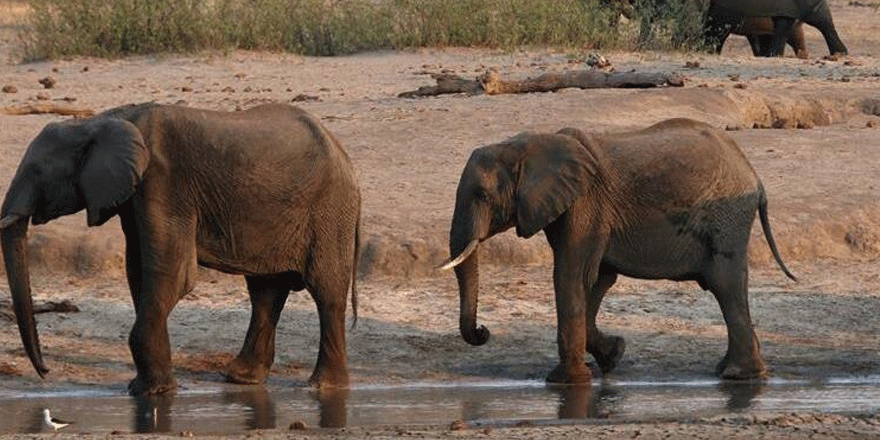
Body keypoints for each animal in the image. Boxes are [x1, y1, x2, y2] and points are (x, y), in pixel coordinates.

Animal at [0, 102, 360, 396]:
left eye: (37, 171)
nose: (45, 371)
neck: (103, 120)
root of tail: (344, 154)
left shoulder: (164, 183)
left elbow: (171, 273)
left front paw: (150, 392)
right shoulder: (136, 194)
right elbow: (138, 271)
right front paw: (148, 388)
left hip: (330, 210)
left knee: (325, 291)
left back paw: (324, 386)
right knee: (265, 291)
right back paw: (241, 378)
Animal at [440, 118, 796, 384]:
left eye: (482, 194)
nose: (483, 331)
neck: (527, 145)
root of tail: (755, 175)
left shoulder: (585, 205)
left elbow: (571, 276)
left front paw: (565, 381)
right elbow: (597, 280)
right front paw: (614, 355)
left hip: (727, 218)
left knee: (725, 284)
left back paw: (738, 375)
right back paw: (732, 370)